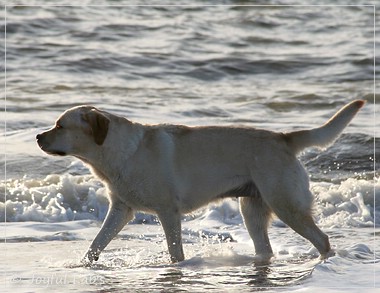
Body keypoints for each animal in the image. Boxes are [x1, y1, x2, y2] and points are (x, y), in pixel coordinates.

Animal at [36, 100, 366, 262]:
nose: (38, 136)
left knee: (323, 240)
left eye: (60, 125)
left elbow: (175, 252)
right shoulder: (121, 209)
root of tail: (283, 137)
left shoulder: (168, 212)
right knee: (266, 249)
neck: (117, 152)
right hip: (253, 210)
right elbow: (96, 243)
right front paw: (84, 264)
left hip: (287, 205)